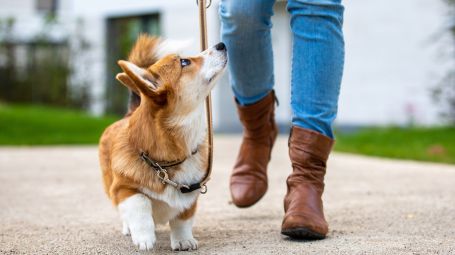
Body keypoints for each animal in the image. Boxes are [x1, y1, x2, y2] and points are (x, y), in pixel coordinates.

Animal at [100, 35, 228, 251]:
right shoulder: (122, 189)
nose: (222, 45)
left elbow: (182, 219)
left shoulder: (190, 194)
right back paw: (128, 228)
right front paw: (144, 238)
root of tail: (129, 113)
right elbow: (140, 202)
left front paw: (183, 241)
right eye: (184, 62)